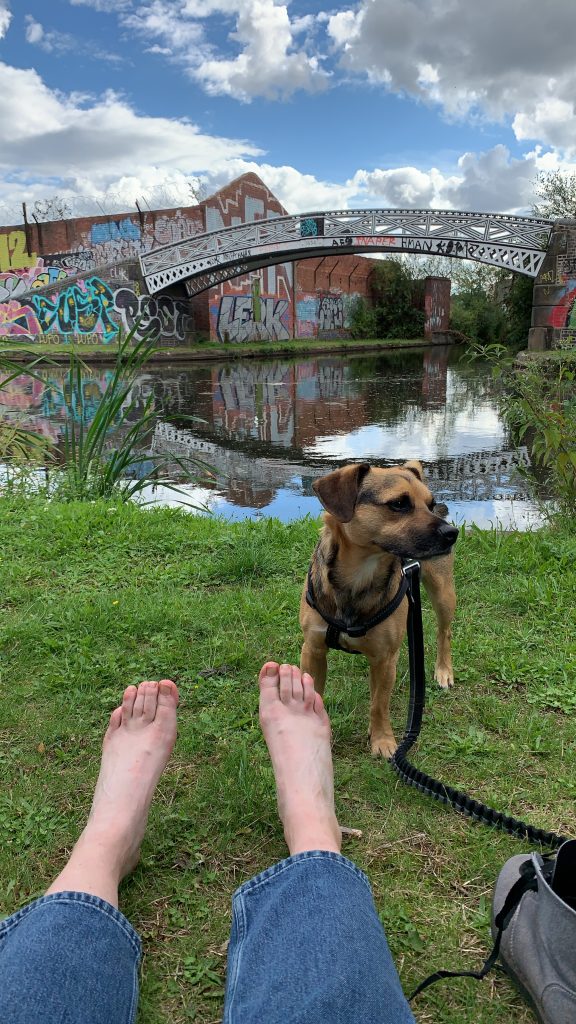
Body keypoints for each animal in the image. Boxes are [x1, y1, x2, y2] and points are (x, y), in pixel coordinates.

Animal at [301, 460, 457, 757]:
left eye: (429, 504)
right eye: (398, 504)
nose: (452, 533)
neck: (360, 576)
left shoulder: (386, 659)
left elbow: (379, 704)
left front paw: (382, 739)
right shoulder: (313, 649)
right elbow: (312, 694)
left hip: (443, 593)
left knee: (444, 633)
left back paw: (444, 671)